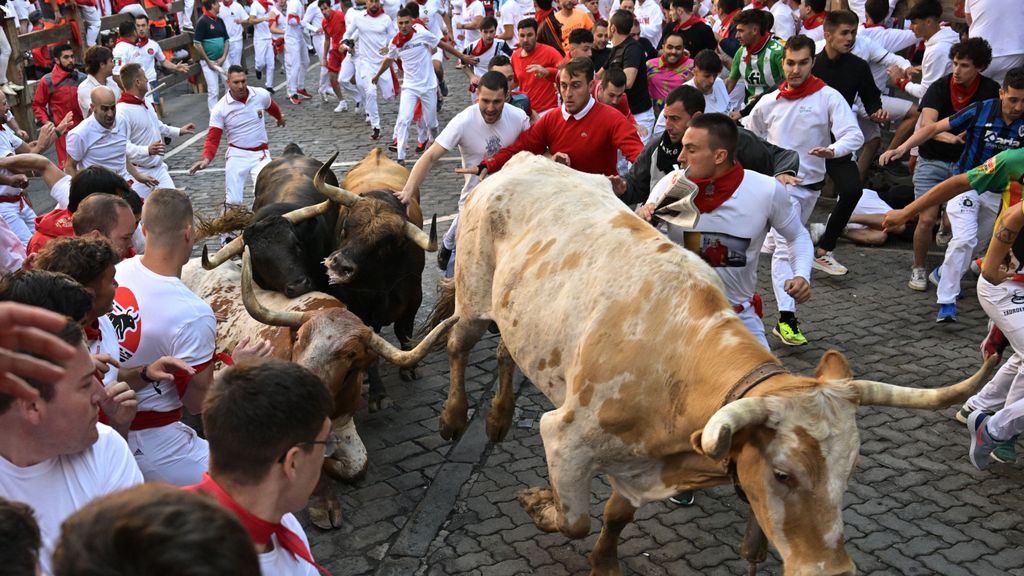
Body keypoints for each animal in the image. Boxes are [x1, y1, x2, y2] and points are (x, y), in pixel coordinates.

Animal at [184, 249, 456, 528]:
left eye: (351, 354)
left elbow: (358, 465)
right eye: (298, 337)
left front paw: (334, 465)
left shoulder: (344, 421)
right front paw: (323, 503)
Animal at [423, 152, 999, 573]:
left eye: (850, 468)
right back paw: (454, 417)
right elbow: (574, 519)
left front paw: (605, 561)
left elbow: (614, 516)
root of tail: (525, 159)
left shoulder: (637, 461)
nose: (832, 570)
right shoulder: (566, 438)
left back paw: (498, 418)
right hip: (475, 297)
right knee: (458, 345)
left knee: (507, 352)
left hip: (523, 315)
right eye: (784, 474)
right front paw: (539, 506)